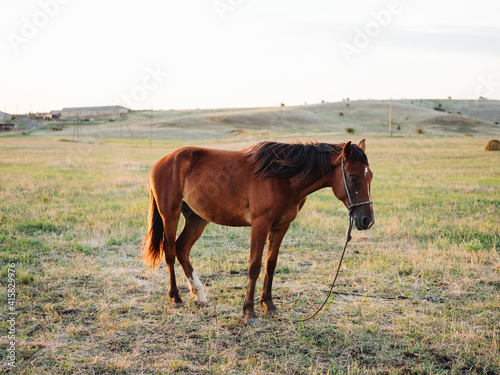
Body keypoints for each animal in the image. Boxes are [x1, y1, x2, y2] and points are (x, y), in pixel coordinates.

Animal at [140, 140, 372, 324]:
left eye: (369, 177)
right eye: (352, 177)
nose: (367, 220)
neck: (282, 178)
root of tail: (162, 162)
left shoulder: (281, 226)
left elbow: (271, 264)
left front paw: (269, 304)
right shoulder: (260, 224)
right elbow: (254, 267)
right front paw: (249, 312)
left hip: (197, 218)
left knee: (182, 249)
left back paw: (199, 295)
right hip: (170, 214)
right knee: (170, 252)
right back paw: (176, 297)